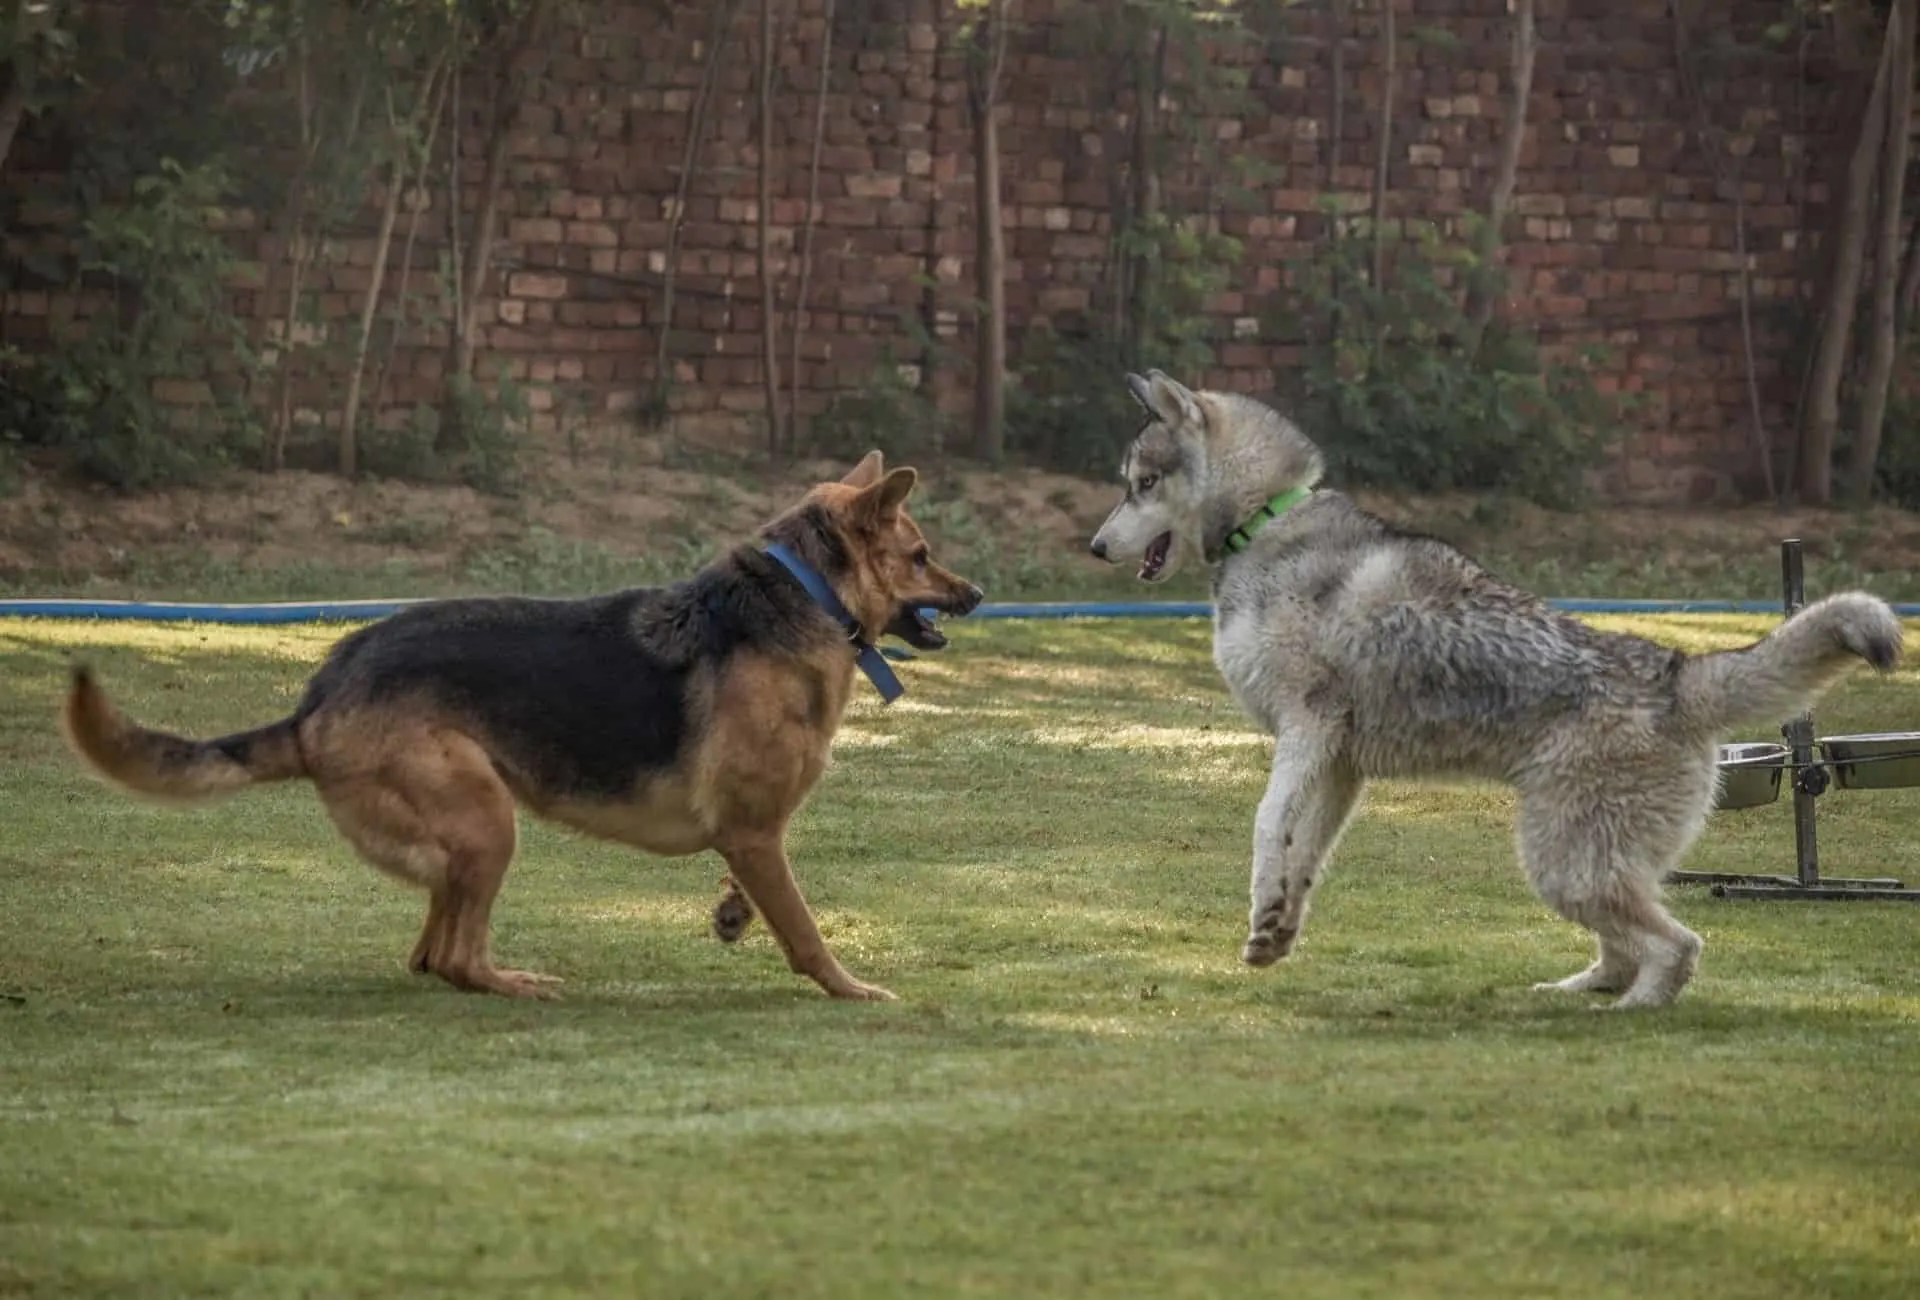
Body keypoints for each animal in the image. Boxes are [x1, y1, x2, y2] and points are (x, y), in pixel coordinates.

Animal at [65, 453, 983, 1006]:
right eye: (920, 554)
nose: (976, 595)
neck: (803, 599)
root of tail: (316, 700)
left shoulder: (751, 834)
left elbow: (764, 893)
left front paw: (732, 914)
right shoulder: (755, 830)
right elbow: (804, 926)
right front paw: (848, 988)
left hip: (468, 832)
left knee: (430, 955)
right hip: (487, 822)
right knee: (454, 959)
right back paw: (521, 982)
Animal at [1090, 370, 1896, 1006]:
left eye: (1143, 484)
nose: (1095, 547)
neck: (1263, 522)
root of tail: (1675, 670)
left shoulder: (1305, 732)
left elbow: (1266, 829)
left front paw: (1263, 905)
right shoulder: (1338, 765)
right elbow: (1305, 858)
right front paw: (1275, 930)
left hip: (1564, 867)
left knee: (1676, 947)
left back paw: (1629, 1011)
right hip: (1579, 868)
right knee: (1626, 949)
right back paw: (1575, 990)